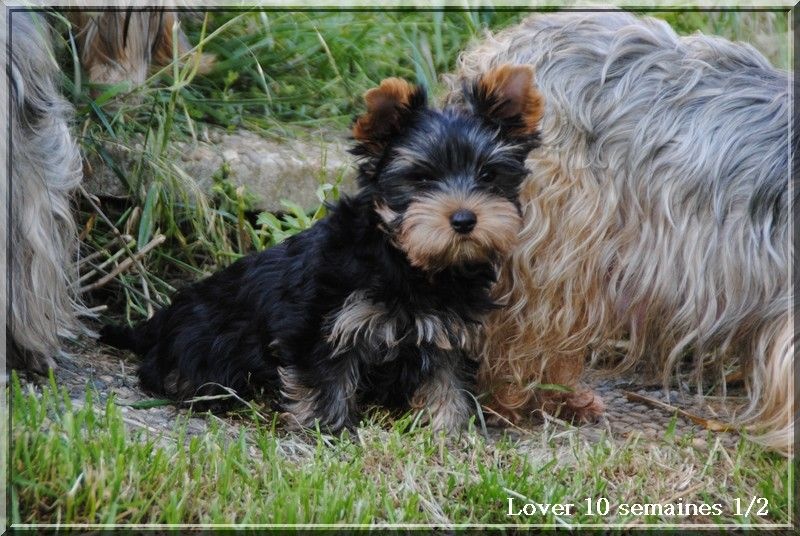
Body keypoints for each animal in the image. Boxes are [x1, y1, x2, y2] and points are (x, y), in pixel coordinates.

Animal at [97, 65, 540, 434]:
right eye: (421, 179)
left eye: (489, 175)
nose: (464, 219)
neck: (408, 262)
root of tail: (158, 324)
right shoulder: (319, 323)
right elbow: (324, 377)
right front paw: (327, 430)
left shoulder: (448, 329)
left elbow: (447, 379)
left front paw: (448, 430)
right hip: (204, 341)